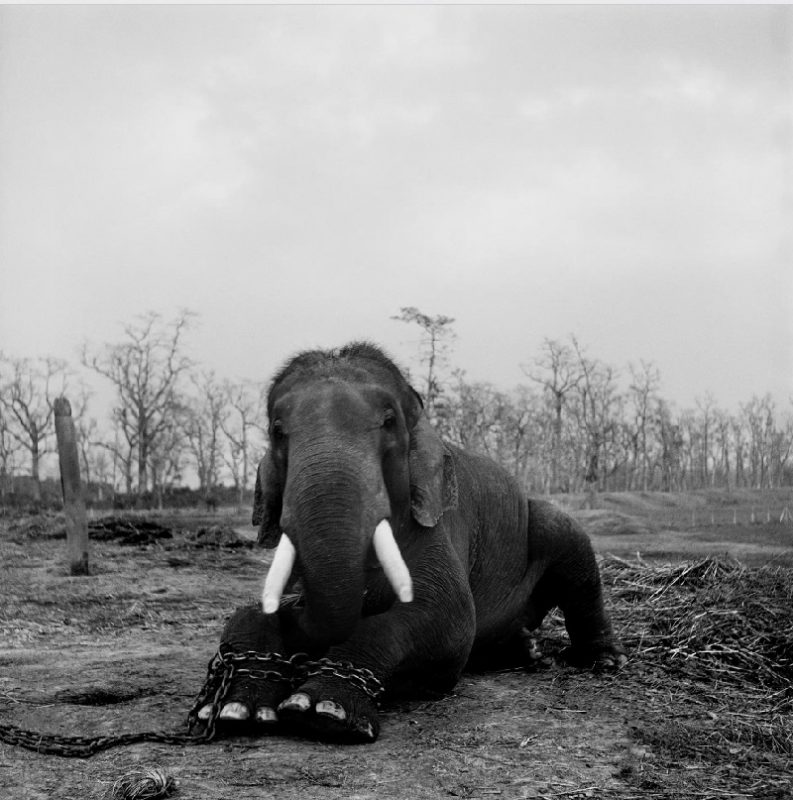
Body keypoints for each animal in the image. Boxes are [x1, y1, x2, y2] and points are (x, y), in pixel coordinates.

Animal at [197, 342, 624, 743]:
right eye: (276, 431)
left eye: (389, 422)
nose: (295, 607)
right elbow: (249, 612)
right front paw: (235, 709)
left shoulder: (437, 527)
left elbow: (449, 617)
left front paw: (322, 711)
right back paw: (526, 649)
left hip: (549, 528)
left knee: (570, 548)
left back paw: (603, 662)